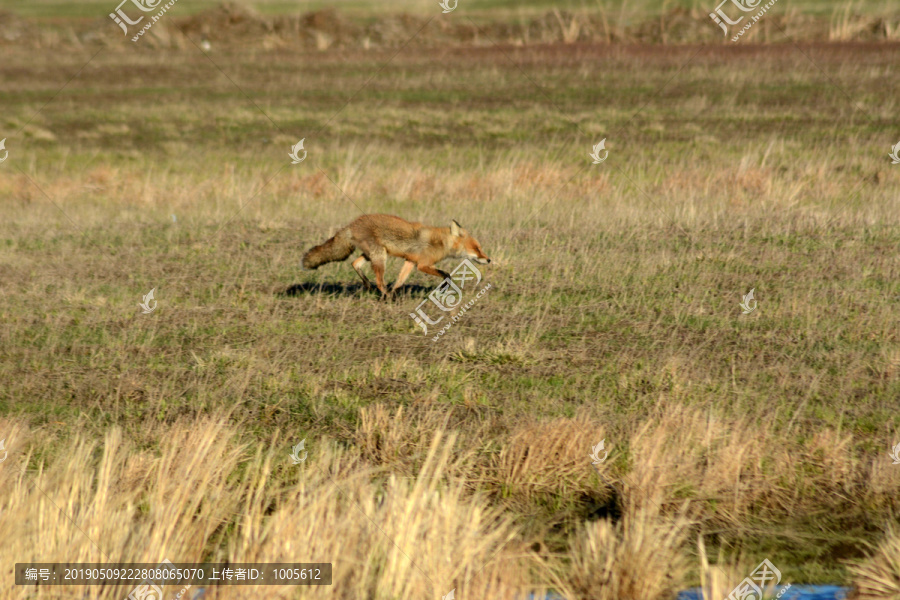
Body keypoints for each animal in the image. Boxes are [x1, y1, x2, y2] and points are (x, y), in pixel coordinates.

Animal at [300, 214, 492, 296]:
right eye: (477, 248)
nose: (489, 259)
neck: (440, 243)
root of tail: (351, 225)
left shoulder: (410, 261)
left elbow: (400, 280)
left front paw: (395, 292)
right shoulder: (423, 264)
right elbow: (446, 274)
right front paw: (445, 287)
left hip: (372, 255)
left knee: (355, 264)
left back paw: (374, 288)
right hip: (380, 256)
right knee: (379, 281)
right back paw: (384, 296)